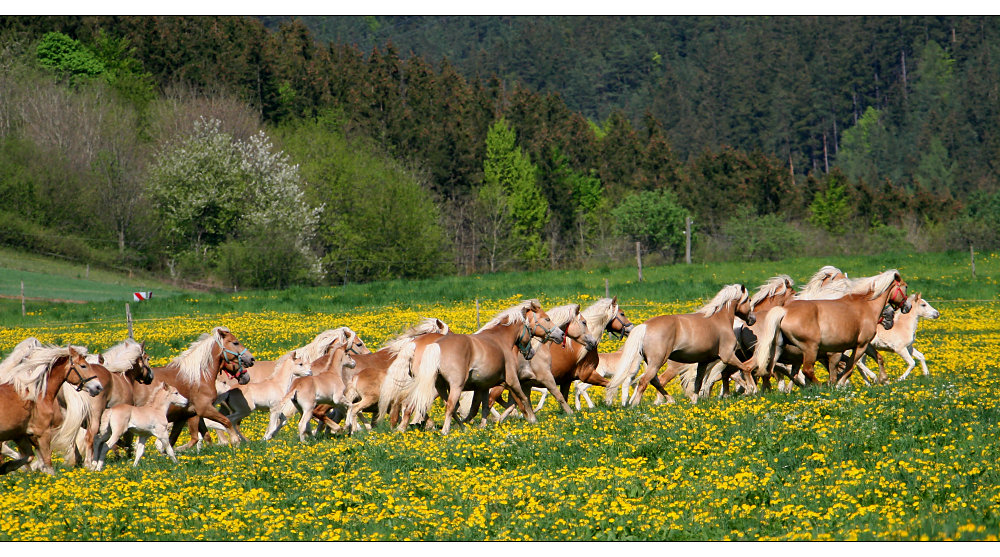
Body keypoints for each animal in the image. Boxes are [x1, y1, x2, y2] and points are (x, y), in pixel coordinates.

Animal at [0, 344, 102, 474]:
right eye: (83, 366)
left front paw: (7, 467)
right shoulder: (43, 433)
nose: (98, 387)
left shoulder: (21, 435)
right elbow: (47, 463)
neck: (36, 395)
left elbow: (30, 456)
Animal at [402, 300, 568, 434]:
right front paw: (533, 419)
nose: (560, 335)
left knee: (445, 406)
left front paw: (483, 426)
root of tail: (435, 345)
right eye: (547, 318)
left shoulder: (483, 386)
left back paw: (460, 428)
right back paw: (444, 431)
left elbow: (483, 407)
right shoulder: (512, 380)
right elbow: (523, 399)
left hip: (440, 387)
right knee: (447, 406)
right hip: (455, 386)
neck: (500, 340)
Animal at [600, 284, 756, 406]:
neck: (718, 320)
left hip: (652, 362)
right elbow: (745, 368)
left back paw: (670, 400)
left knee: (655, 381)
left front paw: (694, 401)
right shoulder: (727, 355)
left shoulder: (703, 361)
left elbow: (698, 382)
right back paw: (636, 405)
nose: (752, 319)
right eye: (749, 300)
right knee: (645, 381)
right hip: (658, 361)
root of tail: (645, 326)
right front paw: (751, 389)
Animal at [752, 270, 912, 386]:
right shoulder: (859, 345)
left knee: (768, 371)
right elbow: (850, 365)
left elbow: (877, 358)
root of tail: (784, 311)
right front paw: (840, 383)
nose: (907, 307)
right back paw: (820, 387)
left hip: (777, 350)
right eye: (905, 286)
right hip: (810, 349)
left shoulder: (861, 344)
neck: (867, 305)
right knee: (806, 370)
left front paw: (883, 379)